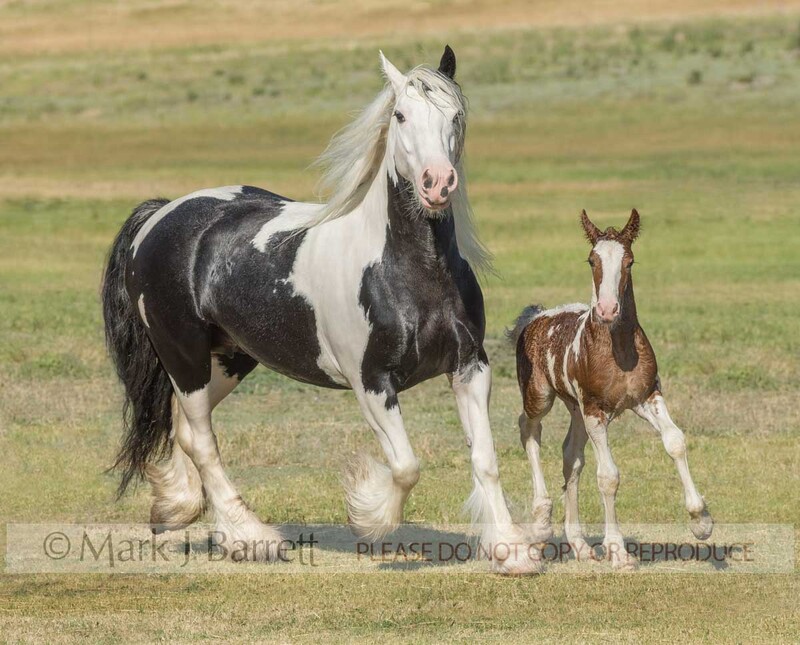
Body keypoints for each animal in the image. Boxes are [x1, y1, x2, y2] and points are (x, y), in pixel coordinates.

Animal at [101, 46, 541, 575]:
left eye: (455, 115)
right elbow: (406, 466)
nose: (437, 184)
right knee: (203, 441)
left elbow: (485, 459)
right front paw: (366, 515)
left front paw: (512, 550)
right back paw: (252, 539)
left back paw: (178, 508)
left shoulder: (470, 366)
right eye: (400, 115)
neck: (410, 272)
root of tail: (162, 214)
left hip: (228, 359)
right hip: (182, 356)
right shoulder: (371, 383)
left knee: (187, 428)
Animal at [507, 209, 713, 570]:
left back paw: (579, 545)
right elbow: (609, 476)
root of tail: (535, 317)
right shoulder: (595, 411)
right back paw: (542, 518)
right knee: (529, 431)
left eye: (629, 261)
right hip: (541, 397)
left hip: (575, 409)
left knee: (571, 457)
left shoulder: (646, 397)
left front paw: (700, 520)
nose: (607, 309)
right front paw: (618, 550)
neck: (618, 350)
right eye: (592, 259)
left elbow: (675, 441)